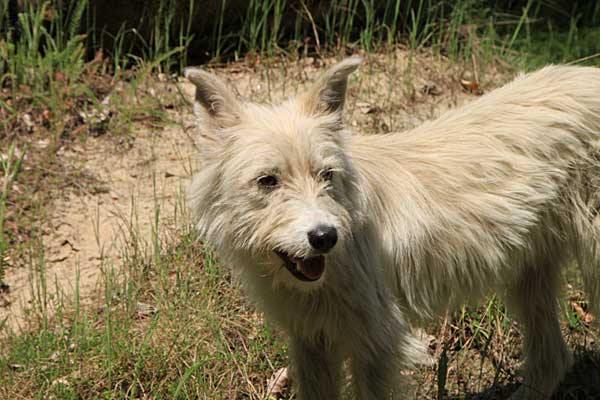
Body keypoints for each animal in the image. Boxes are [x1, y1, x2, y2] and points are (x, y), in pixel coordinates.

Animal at [185, 57, 600, 400]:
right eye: (268, 181)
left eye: (326, 175)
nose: (325, 237)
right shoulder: (312, 341)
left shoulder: (378, 344)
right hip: (531, 276)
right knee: (552, 359)